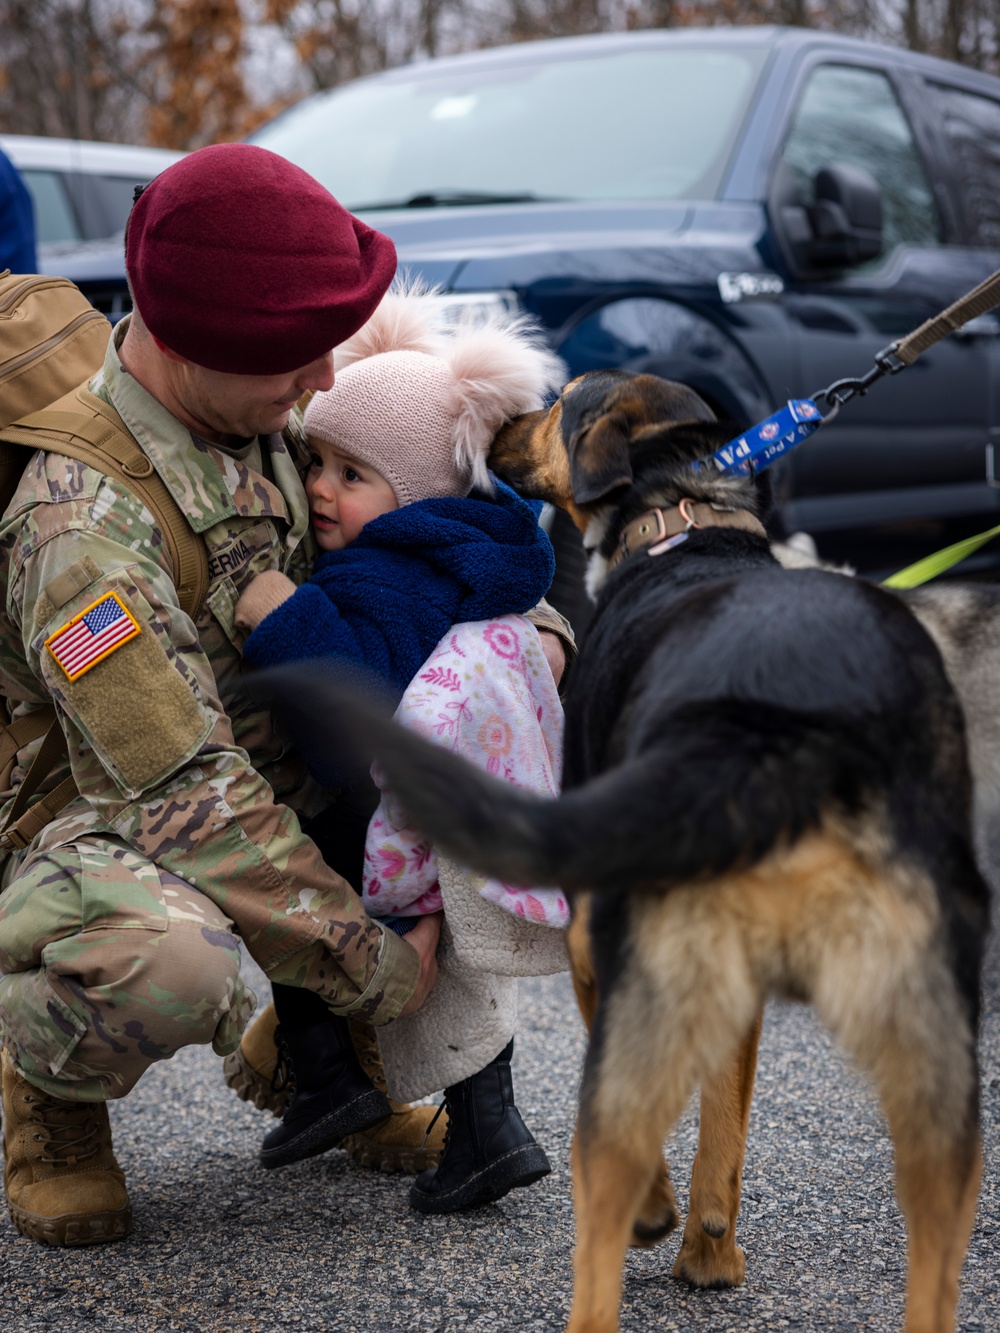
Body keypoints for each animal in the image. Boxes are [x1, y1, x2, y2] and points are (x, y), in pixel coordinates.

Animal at [268, 373, 997, 1333]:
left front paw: (671, 1225)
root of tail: (786, 725)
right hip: (931, 1060)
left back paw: (631, 1229)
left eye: (561, 405)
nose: (498, 421)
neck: (681, 515)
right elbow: (725, 1119)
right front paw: (711, 1254)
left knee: (603, 1215)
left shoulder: (593, 945)